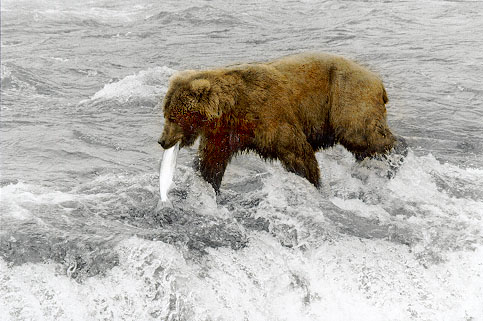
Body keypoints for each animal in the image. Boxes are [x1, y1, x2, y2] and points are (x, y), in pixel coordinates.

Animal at [159, 52, 398, 192]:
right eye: (165, 114)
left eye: (173, 117)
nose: (162, 141)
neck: (233, 109)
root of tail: (378, 81)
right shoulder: (225, 133)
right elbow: (210, 162)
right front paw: (207, 185)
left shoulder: (270, 115)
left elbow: (297, 152)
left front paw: (313, 183)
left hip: (346, 95)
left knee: (362, 134)